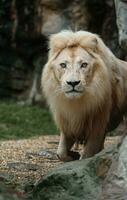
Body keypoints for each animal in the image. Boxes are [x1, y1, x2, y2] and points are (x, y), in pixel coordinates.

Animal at [41, 30, 127, 161]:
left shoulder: (97, 126)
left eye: (84, 65)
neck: (78, 103)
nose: (73, 83)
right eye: (63, 65)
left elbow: (87, 154)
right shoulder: (67, 122)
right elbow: (60, 153)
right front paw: (72, 155)